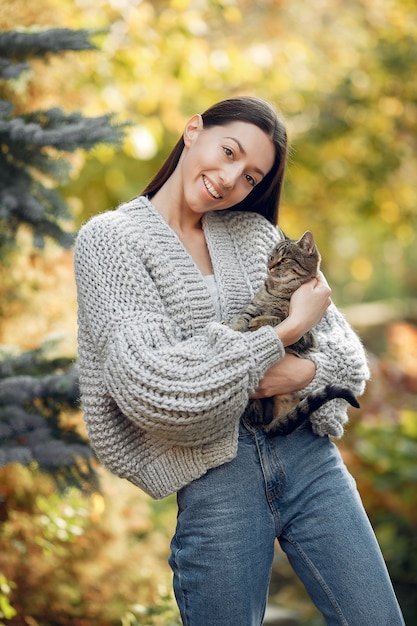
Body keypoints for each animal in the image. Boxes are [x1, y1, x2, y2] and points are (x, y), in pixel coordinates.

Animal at [229, 228, 360, 434]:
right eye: (271, 256)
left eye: (284, 260)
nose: (269, 266)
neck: (278, 290)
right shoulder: (252, 308)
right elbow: (242, 320)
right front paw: (231, 326)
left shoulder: (305, 336)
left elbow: (279, 319)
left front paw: (261, 321)